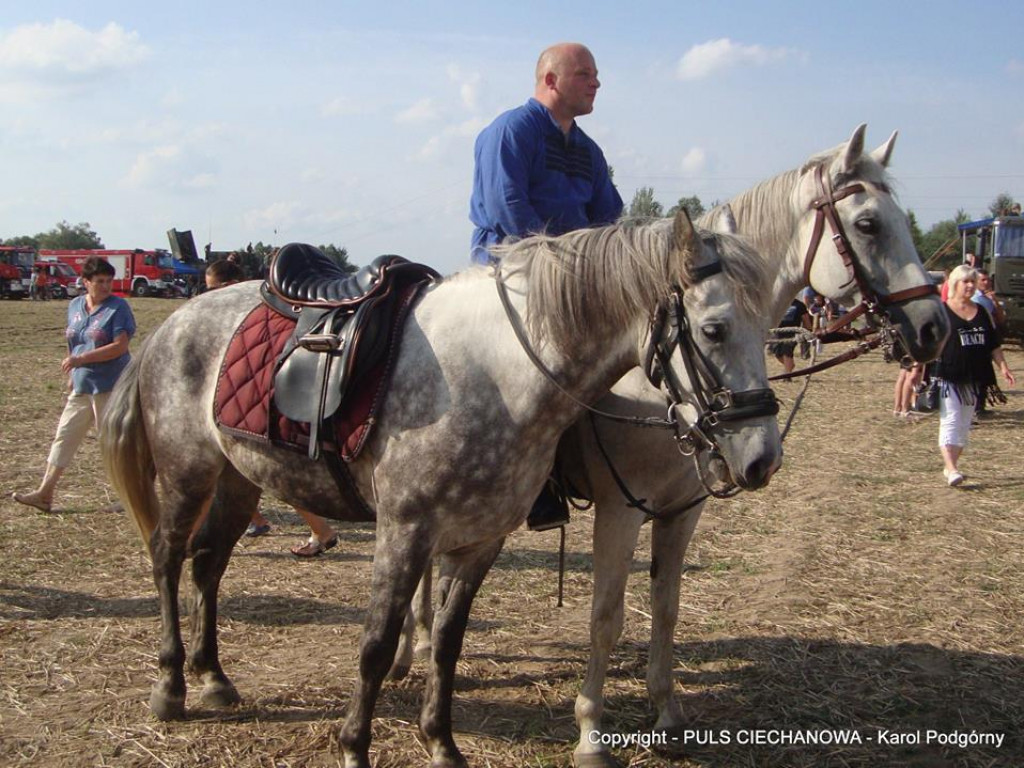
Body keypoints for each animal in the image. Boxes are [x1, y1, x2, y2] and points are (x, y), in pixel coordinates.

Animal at [561, 126, 950, 768]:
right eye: (868, 224)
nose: (934, 327)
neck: (655, 381)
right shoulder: (621, 510)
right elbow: (605, 617)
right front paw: (592, 731)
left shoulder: (682, 510)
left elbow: (666, 606)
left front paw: (667, 712)